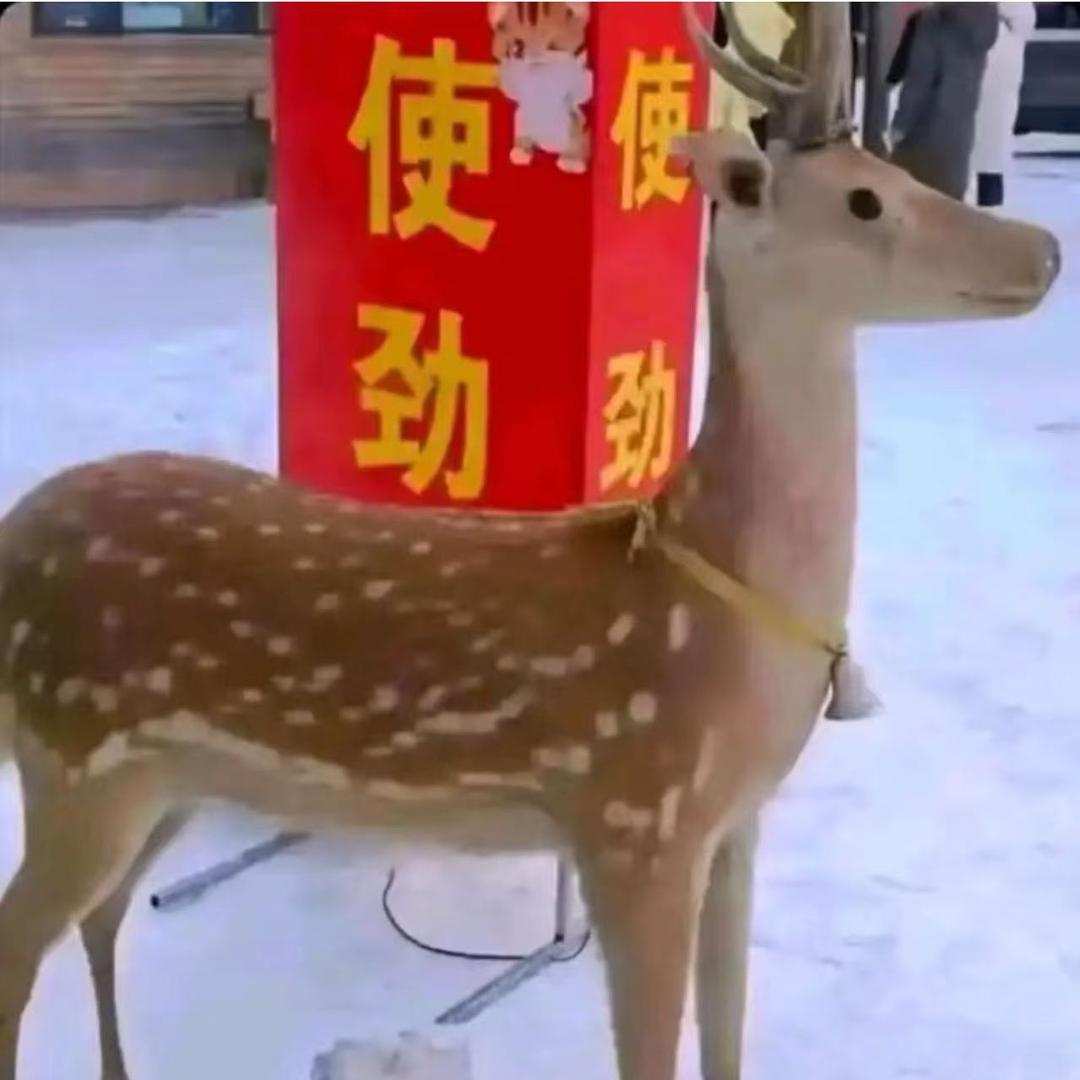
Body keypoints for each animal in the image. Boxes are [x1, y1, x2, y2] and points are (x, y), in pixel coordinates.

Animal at [0, 5, 1061, 1080]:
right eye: (865, 199)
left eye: (893, 172)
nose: (1045, 249)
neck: (727, 629)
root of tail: (10, 538)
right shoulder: (635, 824)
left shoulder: (735, 825)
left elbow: (728, 1039)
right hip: (74, 755)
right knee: (20, 945)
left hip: (163, 776)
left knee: (102, 917)